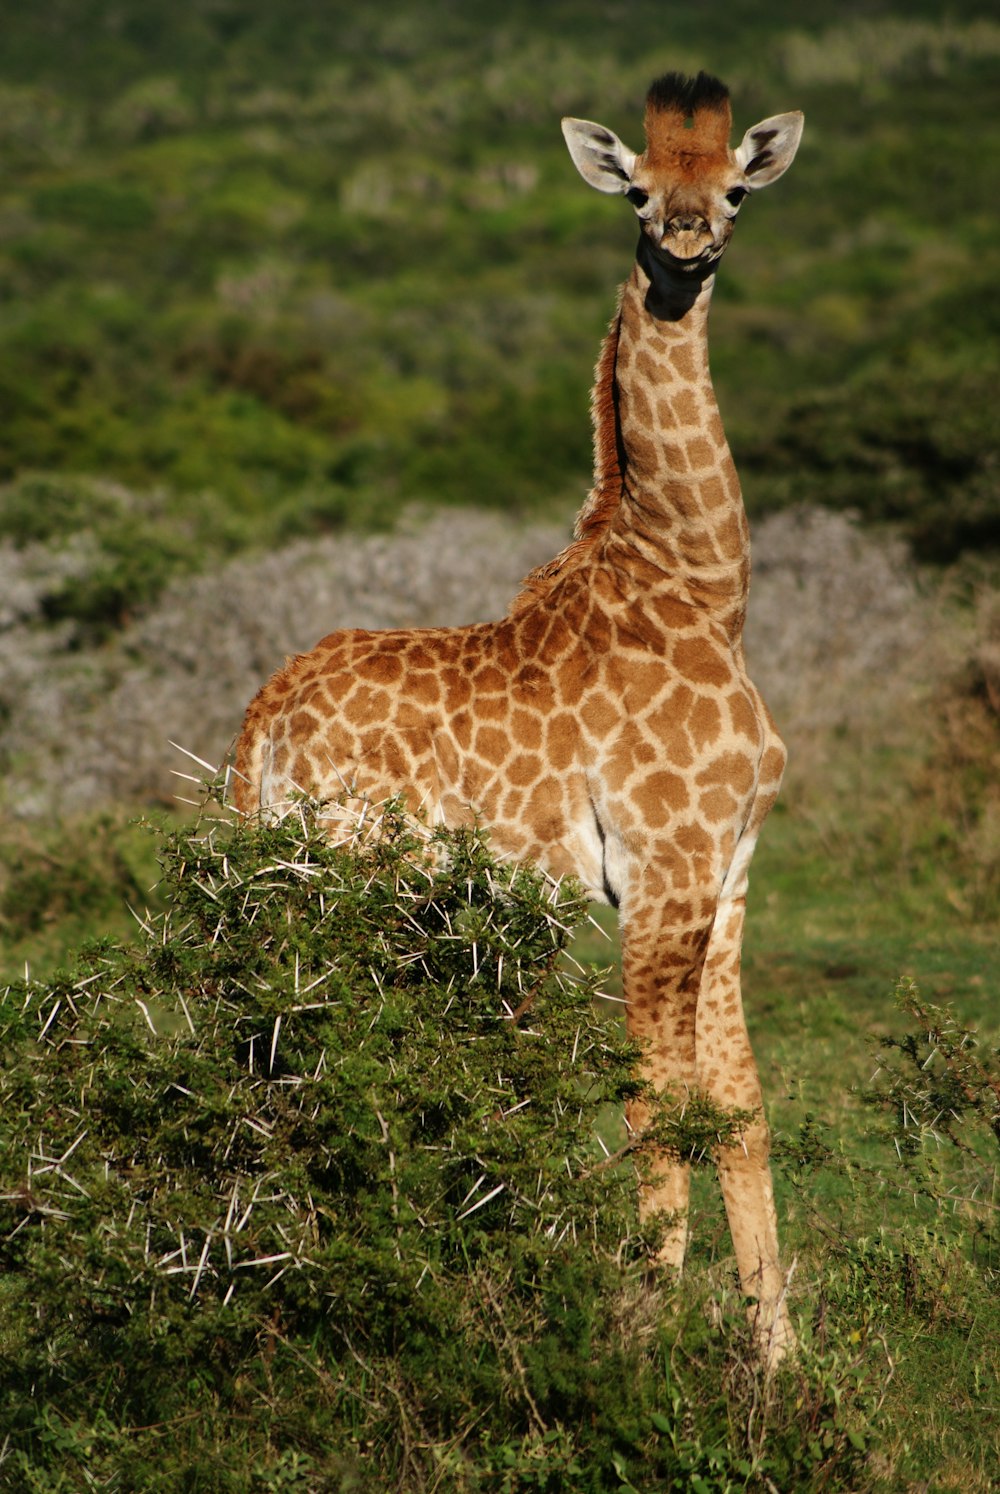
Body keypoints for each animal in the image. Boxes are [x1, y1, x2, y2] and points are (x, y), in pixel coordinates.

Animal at [231, 75, 801, 1368]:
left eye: (734, 189)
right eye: (637, 190)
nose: (684, 244)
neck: (700, 585)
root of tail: (263, 718)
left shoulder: (730, 871)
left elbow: (737, 1109)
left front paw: (782, 1363)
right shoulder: (658, 872)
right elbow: (656, 1107)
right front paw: (643, 1345)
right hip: (354, 876)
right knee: (313, 1049)